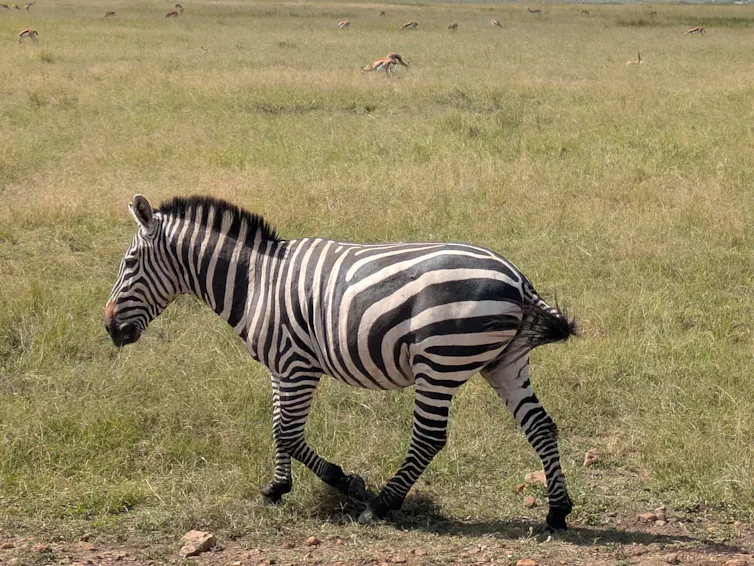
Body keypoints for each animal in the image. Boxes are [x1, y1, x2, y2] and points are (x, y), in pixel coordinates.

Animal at [105, 195, 577, 530]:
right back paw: (557, 511)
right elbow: (278, 428)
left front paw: (346, 483)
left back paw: (383, 505)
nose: (110, 328)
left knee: (429, 438)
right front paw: (277, 487)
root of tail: (518, 279)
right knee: (541, 426)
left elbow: (288, 432)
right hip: (505, 362)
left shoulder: (298, 366)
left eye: (129, 263)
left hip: (439, 362)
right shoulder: (280, 367)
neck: (255, 281)